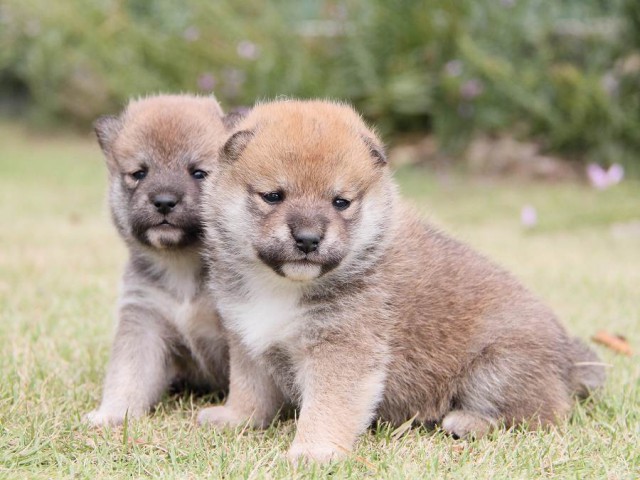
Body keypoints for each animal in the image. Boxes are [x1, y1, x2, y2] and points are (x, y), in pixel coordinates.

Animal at [85, 95, 232, 426]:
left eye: (198, 173)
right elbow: (128, 375)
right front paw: (112, 414)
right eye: (140, 173)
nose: (164, 201)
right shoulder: (143, 320)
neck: (181, 264)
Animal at [196, 99, 604, 464]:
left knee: (539, 414)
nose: (309, 239)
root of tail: (569, 357)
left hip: (498, 367)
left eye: (340, 202)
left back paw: (468, 421)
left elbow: (326, 407)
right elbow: (248, 390)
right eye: (273, 196)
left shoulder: (342, 350)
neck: (281, 287)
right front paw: (234, 418)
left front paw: (315, 451)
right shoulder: (246, 341)